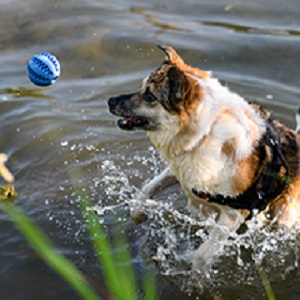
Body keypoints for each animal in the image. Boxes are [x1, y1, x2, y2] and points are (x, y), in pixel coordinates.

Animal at [108, 45, 300, 272]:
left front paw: (198, 276)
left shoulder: (232, 216)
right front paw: (138, 214)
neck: (206, 132)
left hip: (285, 218)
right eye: (142, 87)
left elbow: (202, 256)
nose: (110, 101)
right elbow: (147, 188)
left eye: (150, 96)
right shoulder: (182, 169)